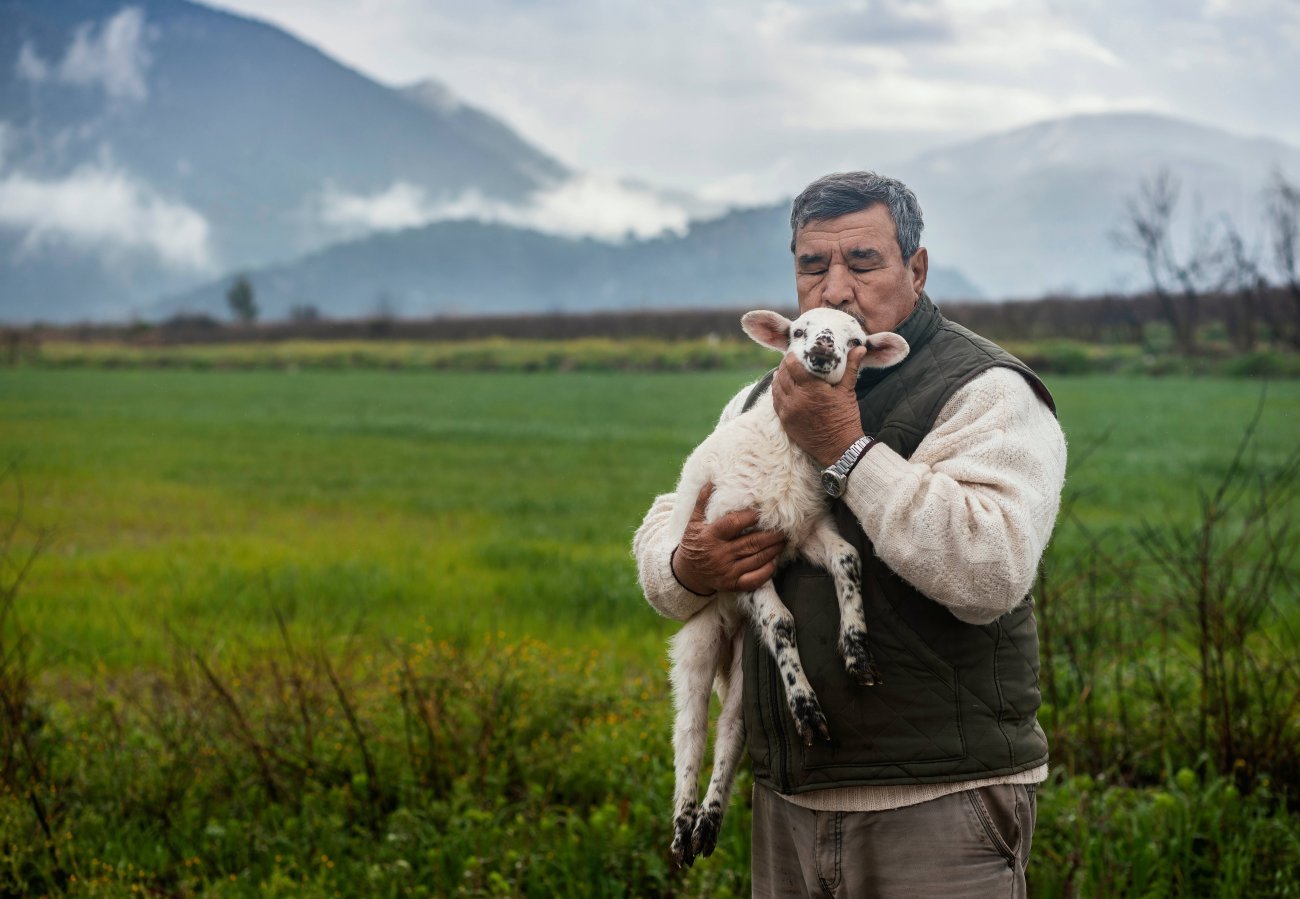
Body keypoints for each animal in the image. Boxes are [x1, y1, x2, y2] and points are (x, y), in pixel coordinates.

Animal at [665, 307, 909, 862]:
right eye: (798, 330)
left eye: (857, 341)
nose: (821, 350)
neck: (785, 449)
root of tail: (730, 625)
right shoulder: (741, 555)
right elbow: (780, 621)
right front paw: (807, 708)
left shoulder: (803, 531)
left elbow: (847, 559)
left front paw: (857, 651)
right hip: (698, 638)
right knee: (690, 730)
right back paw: (683, 826)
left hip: (740, 660)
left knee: (733, 729)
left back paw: (708, 822)